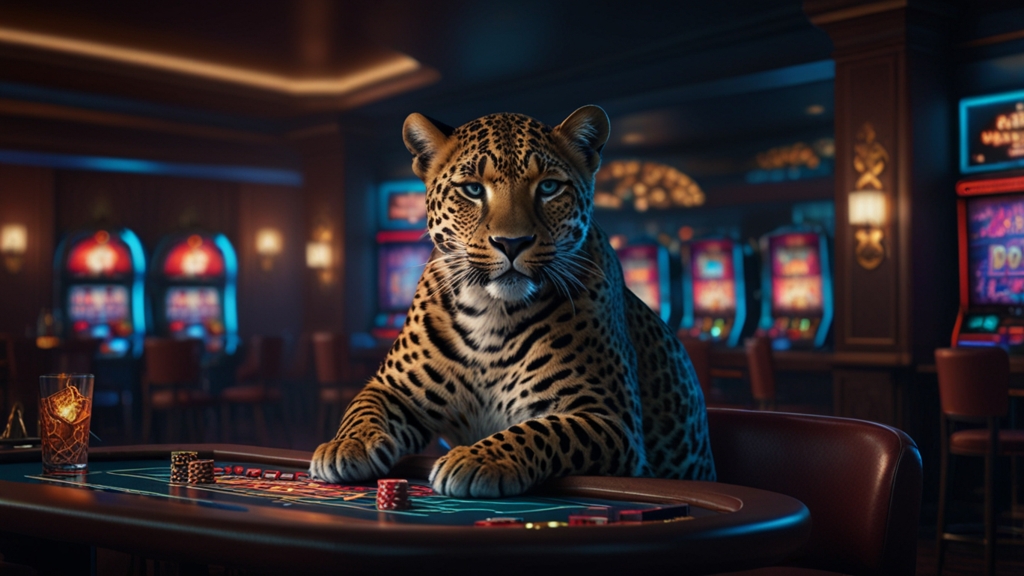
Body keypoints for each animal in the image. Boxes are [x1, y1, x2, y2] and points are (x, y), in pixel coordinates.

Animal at [310, 105, 716, 498]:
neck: (489, 312)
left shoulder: (608, 419)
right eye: (473, 189)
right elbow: (362, 408)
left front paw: (479, 458)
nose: (512, 242)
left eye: (549, 187)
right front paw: (346, 445)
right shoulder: (393, 387)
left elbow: (543, 431)